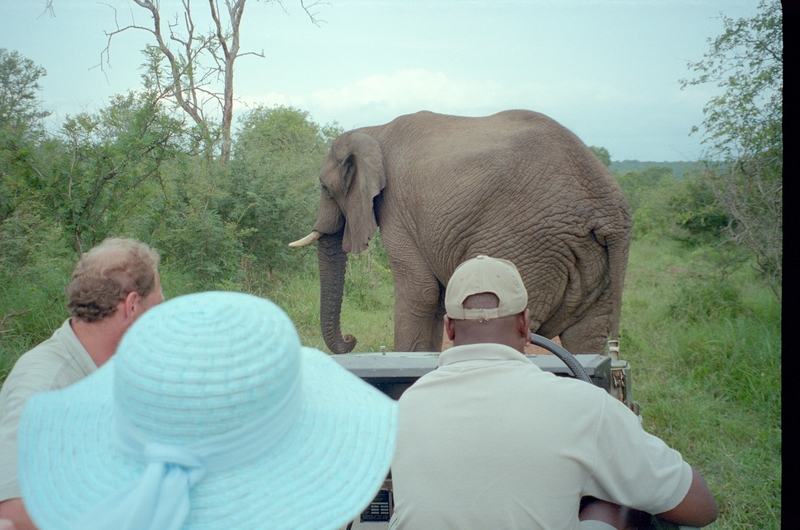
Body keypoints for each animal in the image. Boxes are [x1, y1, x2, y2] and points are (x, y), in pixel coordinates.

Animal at [290, 109, 632, 352]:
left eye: (324, 188)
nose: (351, 339)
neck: (374, 130)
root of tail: (609, 209)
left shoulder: (398, 207)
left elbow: (420, 292)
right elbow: (437, 299)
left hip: (528, 247)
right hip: (594, 262)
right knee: (587, 336)